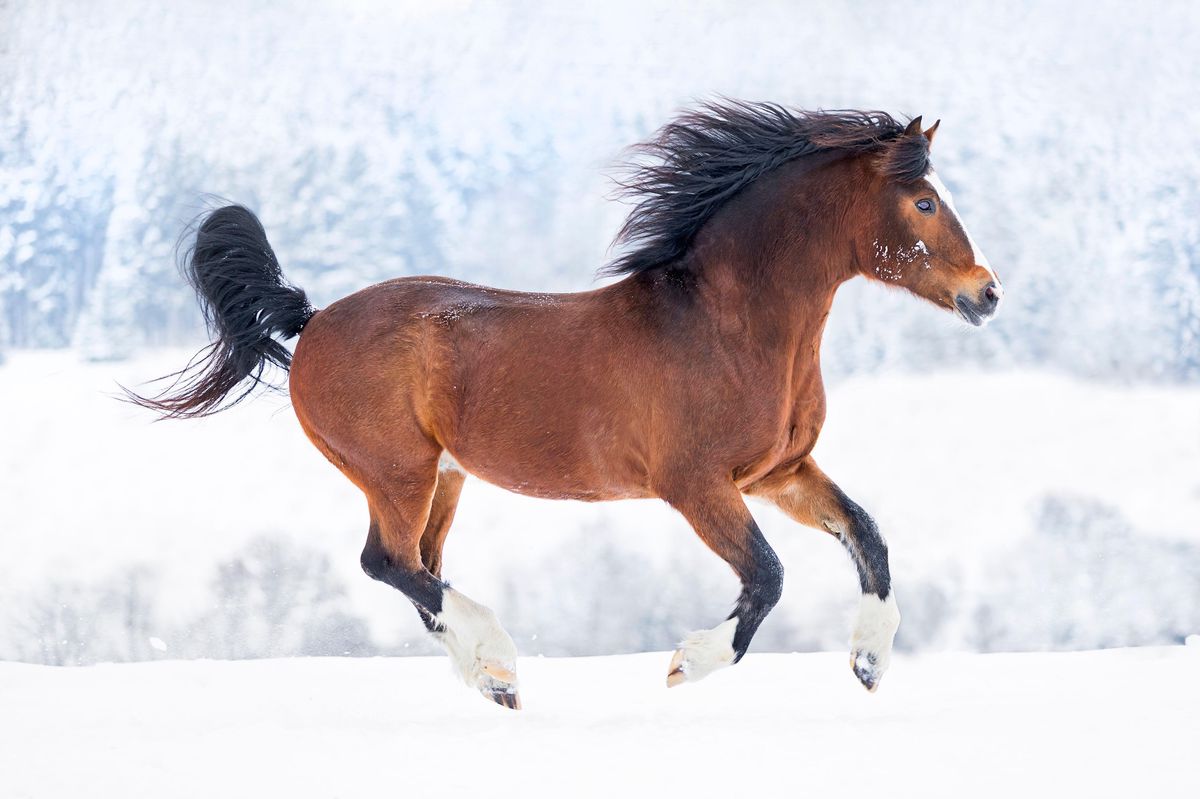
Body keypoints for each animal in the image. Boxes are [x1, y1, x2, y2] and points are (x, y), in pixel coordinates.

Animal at [131, 101, 1002, 710]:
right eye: (925, 203)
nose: (987, 293)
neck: (731, 326)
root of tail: (310, 321)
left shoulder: (778, 472)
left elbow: (869, 537)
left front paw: (869, 662)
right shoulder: (698, 485)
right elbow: (767, 577)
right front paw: (687, 662)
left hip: (444, 478)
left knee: (421, 569)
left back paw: (492, 680)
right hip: (397, 471)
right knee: (388, 563)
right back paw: (499, 658)